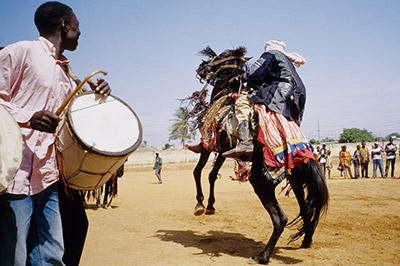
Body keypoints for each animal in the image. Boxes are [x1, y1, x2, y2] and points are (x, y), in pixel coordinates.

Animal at [184, 46, 250, 216]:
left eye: (221, 55)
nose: (201, 66)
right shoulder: (223, 152)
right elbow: (212, 175)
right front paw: (208, 204)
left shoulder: (209, 146)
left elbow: (199, 172)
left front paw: (202, 203)